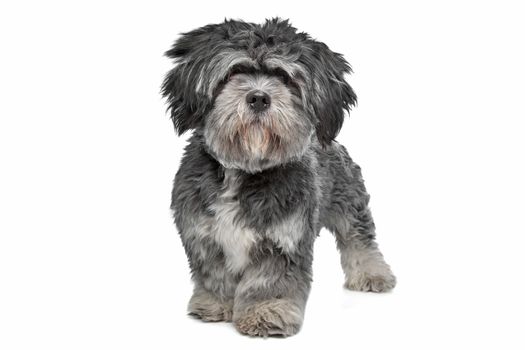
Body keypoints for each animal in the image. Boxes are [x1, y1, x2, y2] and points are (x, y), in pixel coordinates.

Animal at [162, 18, 396, 336]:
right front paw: (215, 304)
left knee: (360, 239)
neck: (245, 170)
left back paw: (372, 273)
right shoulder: (204, 235)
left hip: (350, 202)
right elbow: (214, 274)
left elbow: (269, 282)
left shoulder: (283, 239)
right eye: (234, 72)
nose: (259, 97)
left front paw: (266, 312)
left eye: (285, 78)